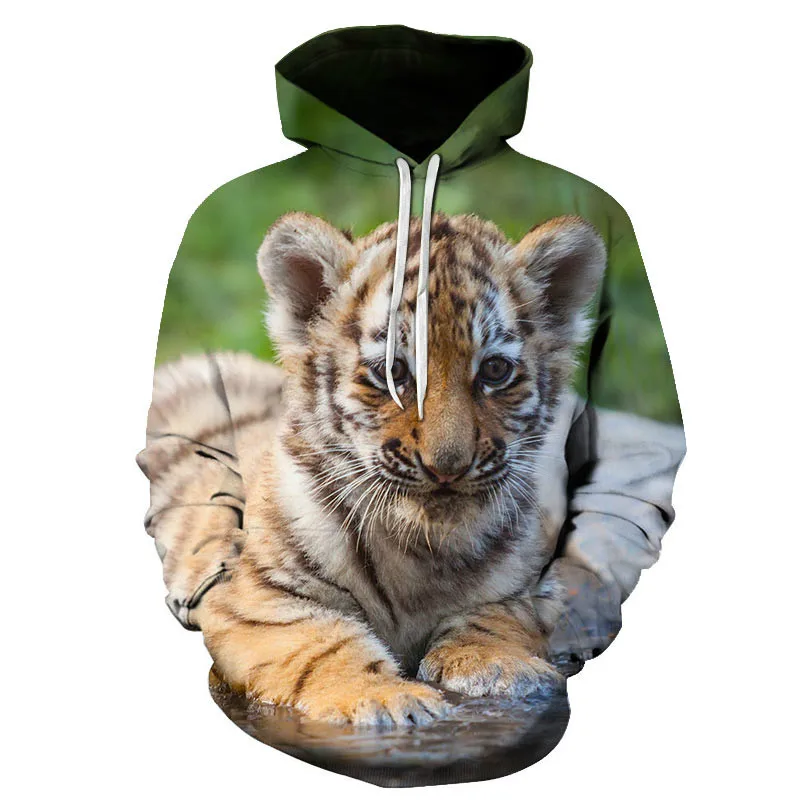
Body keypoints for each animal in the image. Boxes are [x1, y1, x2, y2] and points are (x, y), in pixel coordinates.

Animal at [141, 211, 606, 727]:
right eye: (391, 372)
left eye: (495, 371)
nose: (447, 466)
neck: (421, 551)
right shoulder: (257, 600)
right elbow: (323, 646)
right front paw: (388, 698)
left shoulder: (529, 588)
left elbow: (496, 619)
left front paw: (504, 667)